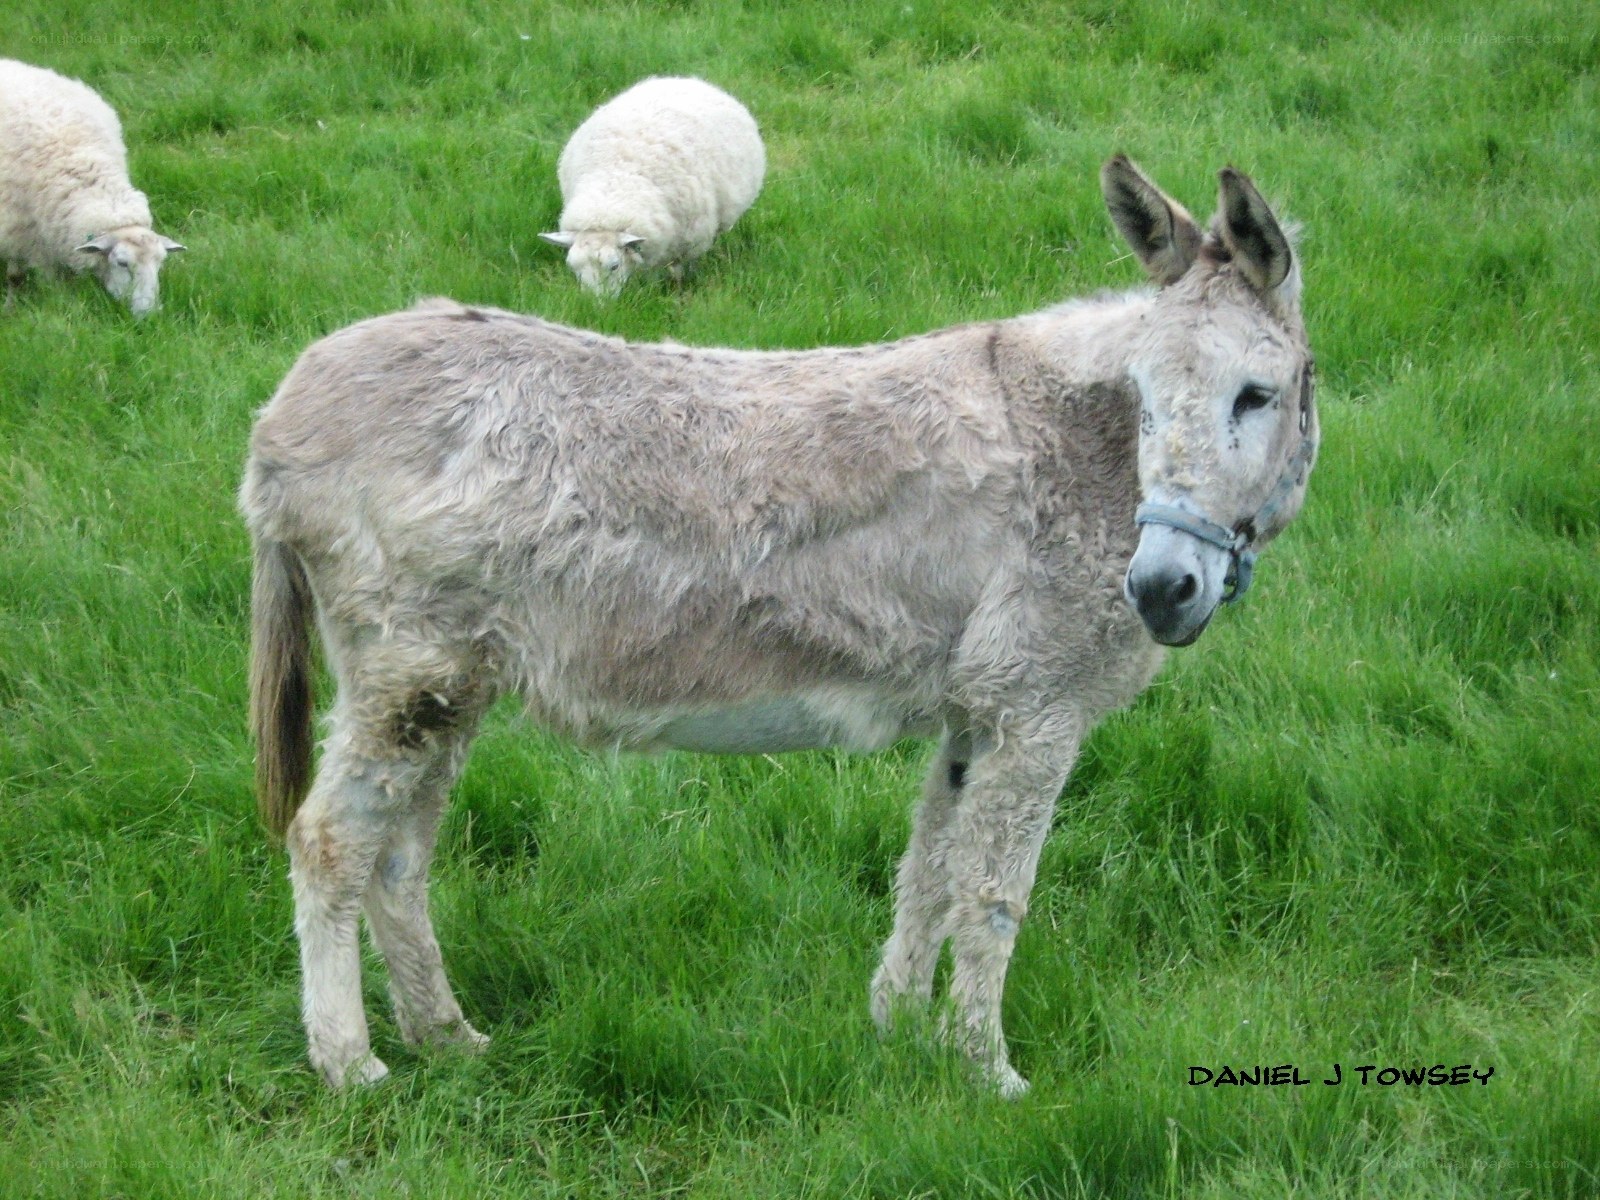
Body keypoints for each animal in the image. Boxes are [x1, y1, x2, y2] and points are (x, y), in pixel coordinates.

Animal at [0, 58, 183, 317]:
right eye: (122, 263)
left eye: (160, 263)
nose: (149, 315)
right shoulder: (18, 229)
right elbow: (16, 276)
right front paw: (11, 308)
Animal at [540, 76, 764, 296]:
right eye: (573, 268)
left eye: (614, 266)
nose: (595, 304)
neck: (613, 186)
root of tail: (683, 79)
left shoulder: (689, 242)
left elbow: (678, 270)